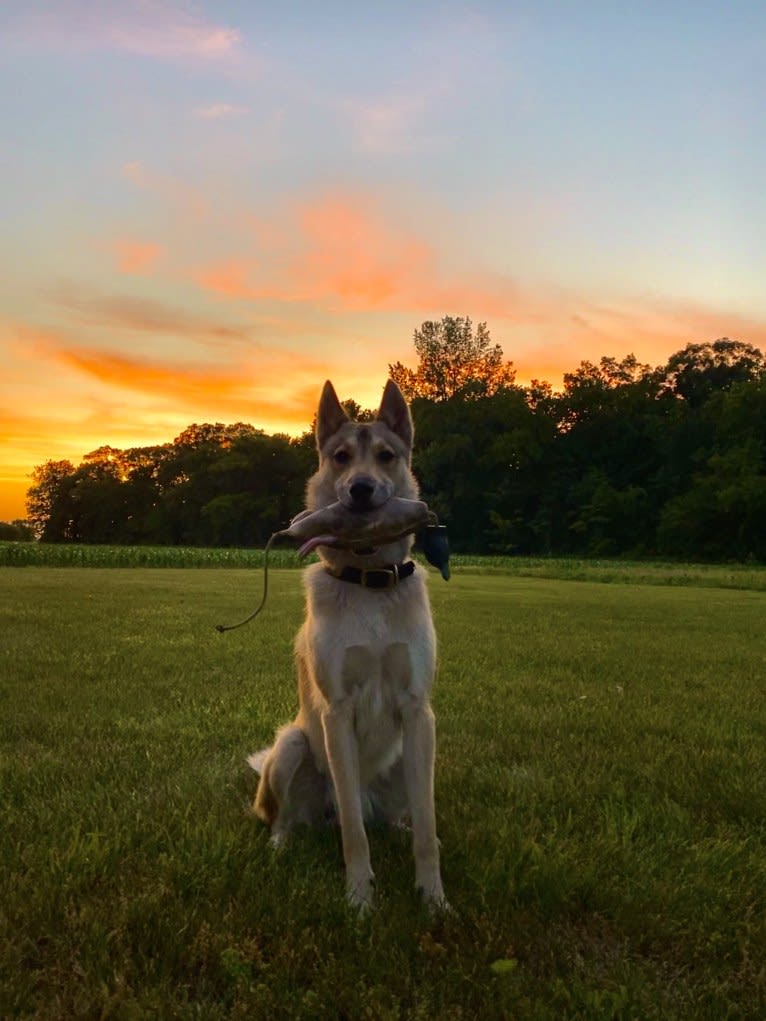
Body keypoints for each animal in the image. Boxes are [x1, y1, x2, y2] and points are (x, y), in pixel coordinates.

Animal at [249, 381, 447, 910]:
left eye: (386, 456)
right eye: (340, 457)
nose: (361, 489)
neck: (369, 580)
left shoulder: (418, 710)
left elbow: (427, 826)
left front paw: (433, 898)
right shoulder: (336, 711)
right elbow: (354, 836)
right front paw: (360, 899)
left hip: (411, 758)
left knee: (400, 816)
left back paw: (399, 829)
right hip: (293, 744)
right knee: (291, 818)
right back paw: (281, 845)